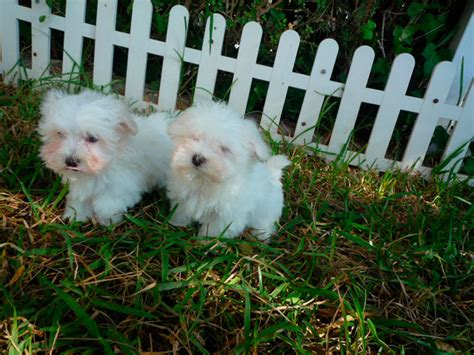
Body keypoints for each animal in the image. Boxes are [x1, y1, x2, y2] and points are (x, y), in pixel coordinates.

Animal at [39, 90, 172, 227]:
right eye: (60, 133)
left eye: (92, 138)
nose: (70, 161)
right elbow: (79, 200)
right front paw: (76, 216)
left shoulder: (122, 185)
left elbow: (107, 205)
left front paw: (108, 221)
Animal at [167, 101, 292, 242]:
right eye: (195, 138)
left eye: (224, 149)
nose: (197, 158)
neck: (205, 181)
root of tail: (273, 175)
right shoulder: (182, 198)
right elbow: (180, 212)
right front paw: (176, 224)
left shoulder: (226, 216)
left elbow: (214, 229)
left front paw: (207, 241)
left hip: (267, 210)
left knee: (264, 223)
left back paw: (261, 236)